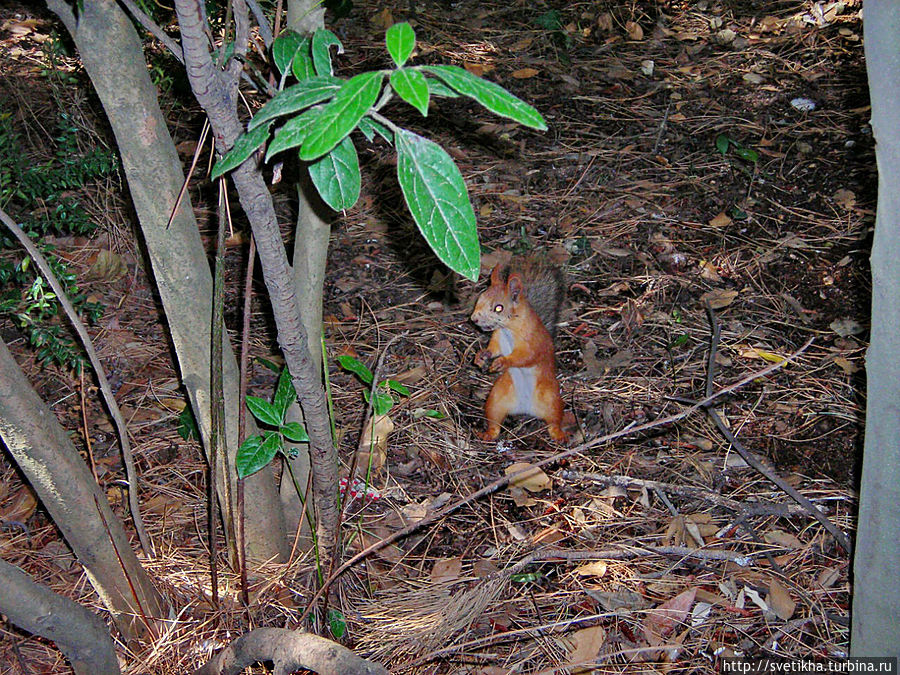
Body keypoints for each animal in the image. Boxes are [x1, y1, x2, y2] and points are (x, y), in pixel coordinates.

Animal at [472, 255, 568, 444]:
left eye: (498, 307)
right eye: (480, 298)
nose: (474, 319)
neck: (508, 329)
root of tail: (525, 408)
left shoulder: (533, 341)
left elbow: (525, 356)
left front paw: (503, 361)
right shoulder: (497, 338)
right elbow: (493, 349)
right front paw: (481, 356)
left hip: (551, 399)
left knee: (554, 421)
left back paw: (559, 435)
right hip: (496, 400)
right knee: (495, 422)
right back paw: (487, 434)